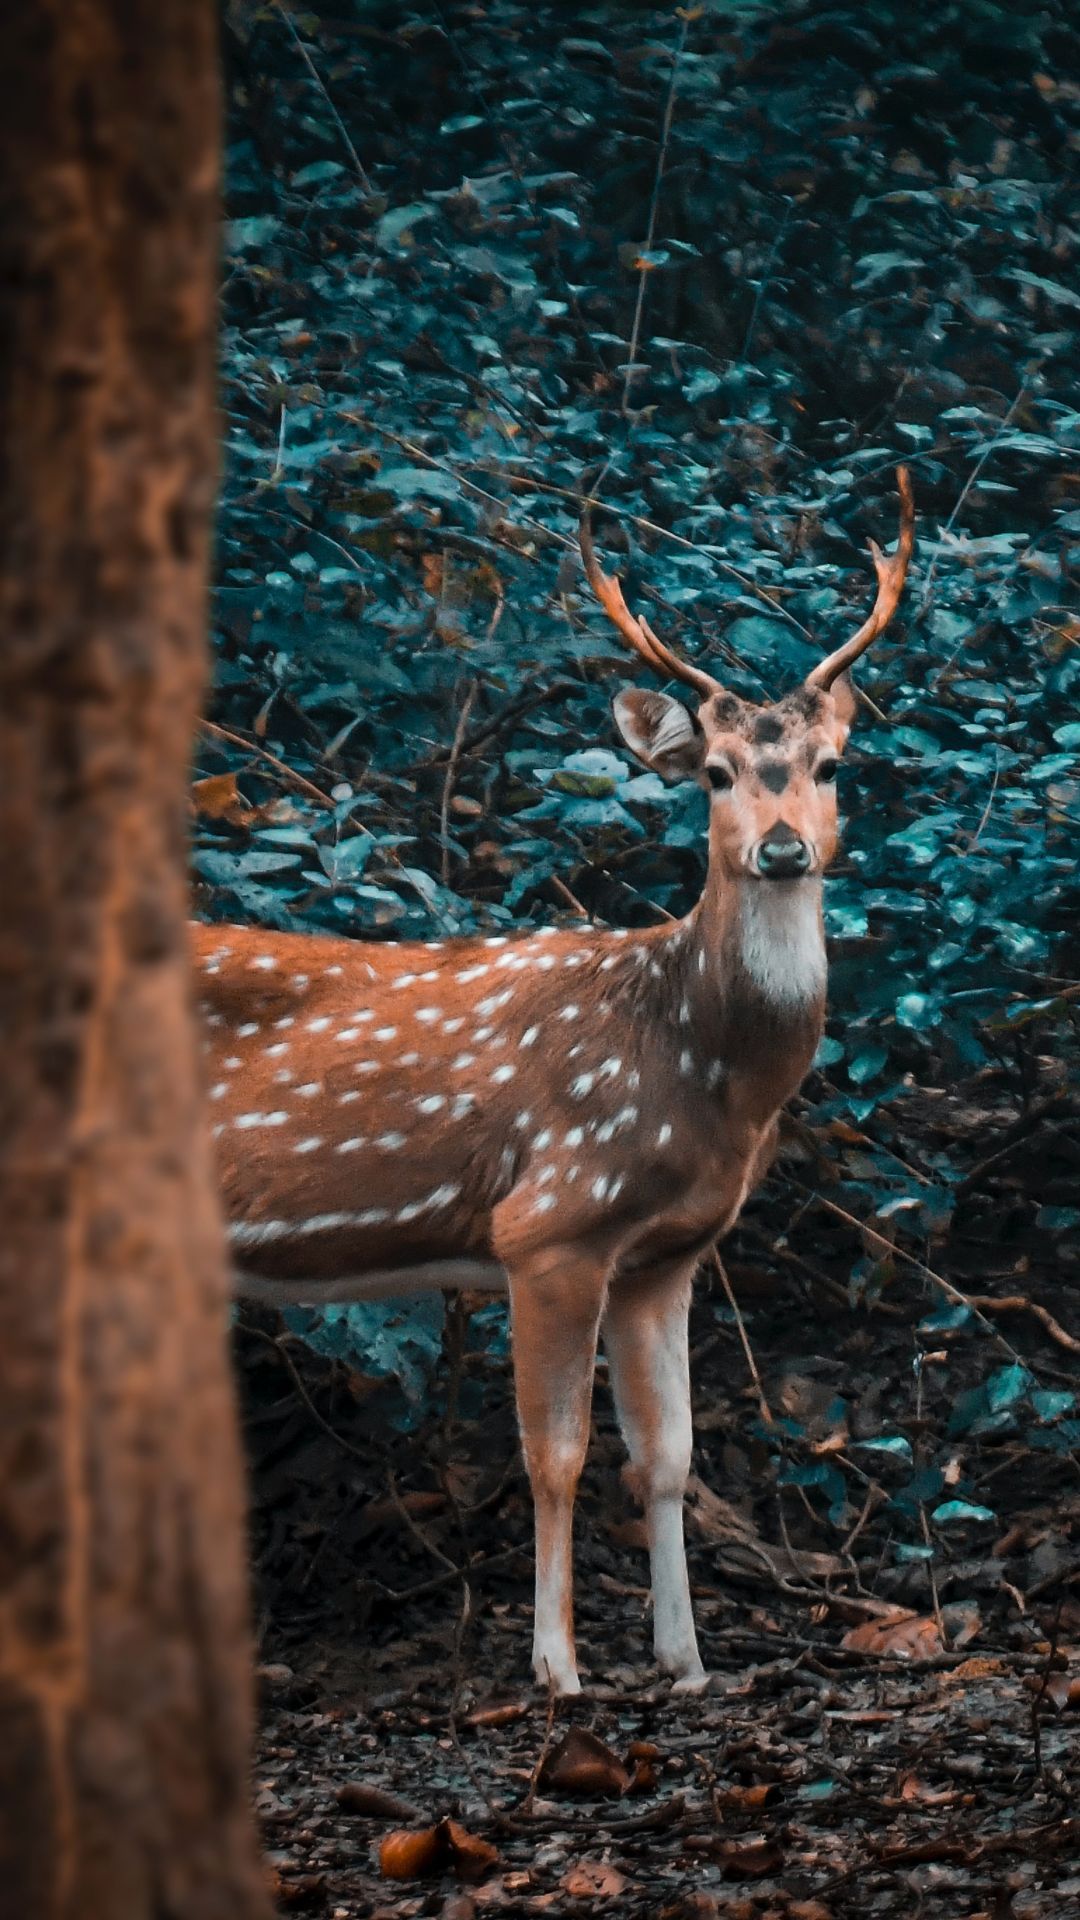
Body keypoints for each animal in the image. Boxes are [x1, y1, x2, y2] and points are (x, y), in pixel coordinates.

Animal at [193, 464, 907, 1697]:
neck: (700, 1074)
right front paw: (557, 1667)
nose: (781, 849)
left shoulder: (665, 1255)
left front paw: (686, 1663)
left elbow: (667, 1459)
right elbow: (556, 1457)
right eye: (715, 772)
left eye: (829, 767)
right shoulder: (550, 1225)